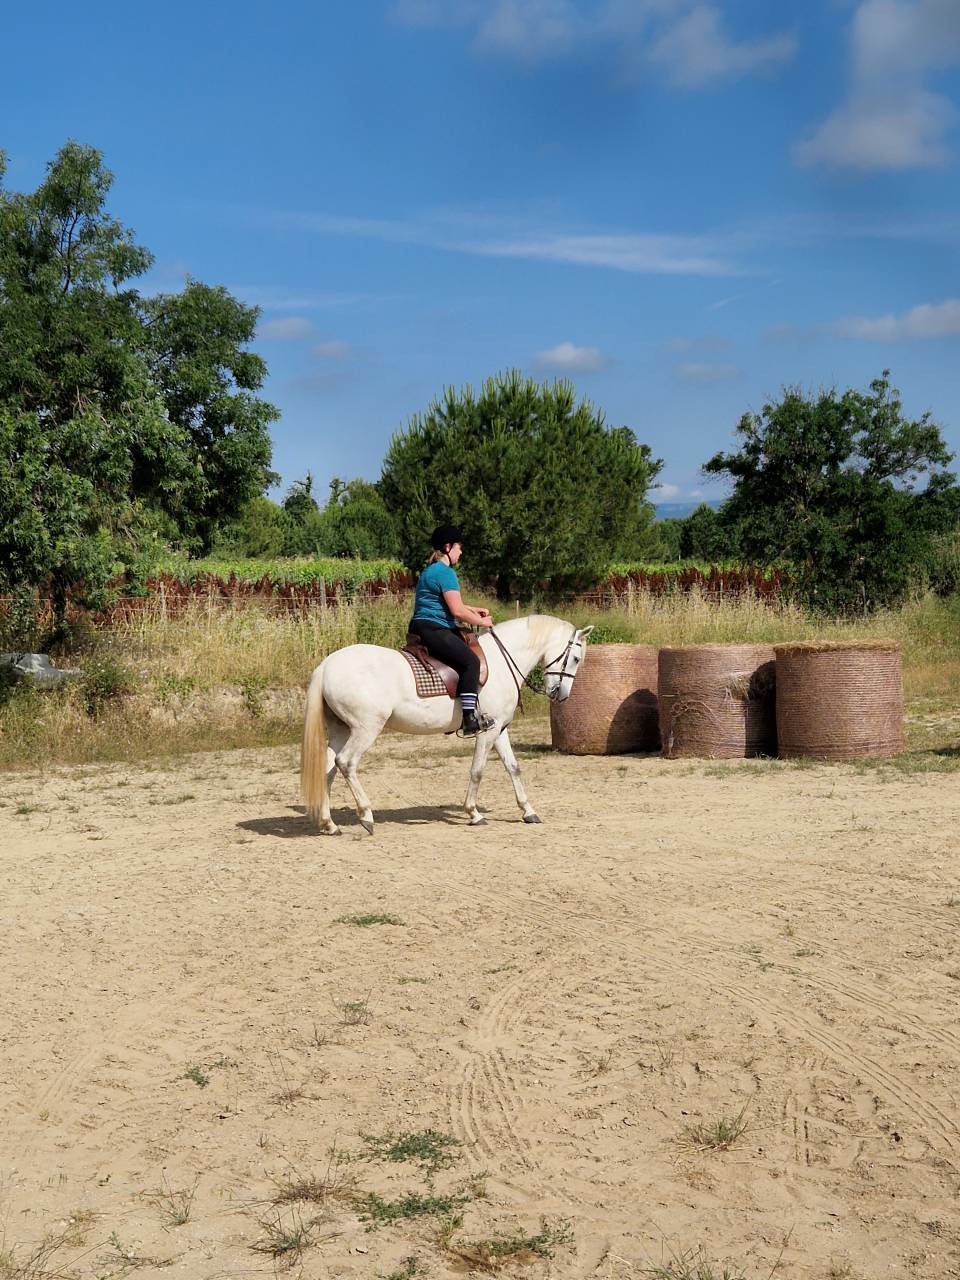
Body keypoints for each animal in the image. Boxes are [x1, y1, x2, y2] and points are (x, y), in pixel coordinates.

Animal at [301, 614, 593, 834]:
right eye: (576, 658)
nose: (561, 694)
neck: (501, 662)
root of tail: (327, 665)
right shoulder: (487, 732)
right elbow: (477, 771)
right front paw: (473, 813)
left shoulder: (499, 729)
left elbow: (513, 767)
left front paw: (528, 811)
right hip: (365, 729)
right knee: (346, 763)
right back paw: (366, 815)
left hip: (341, 729)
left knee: (328, 769)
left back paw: (329, 824)